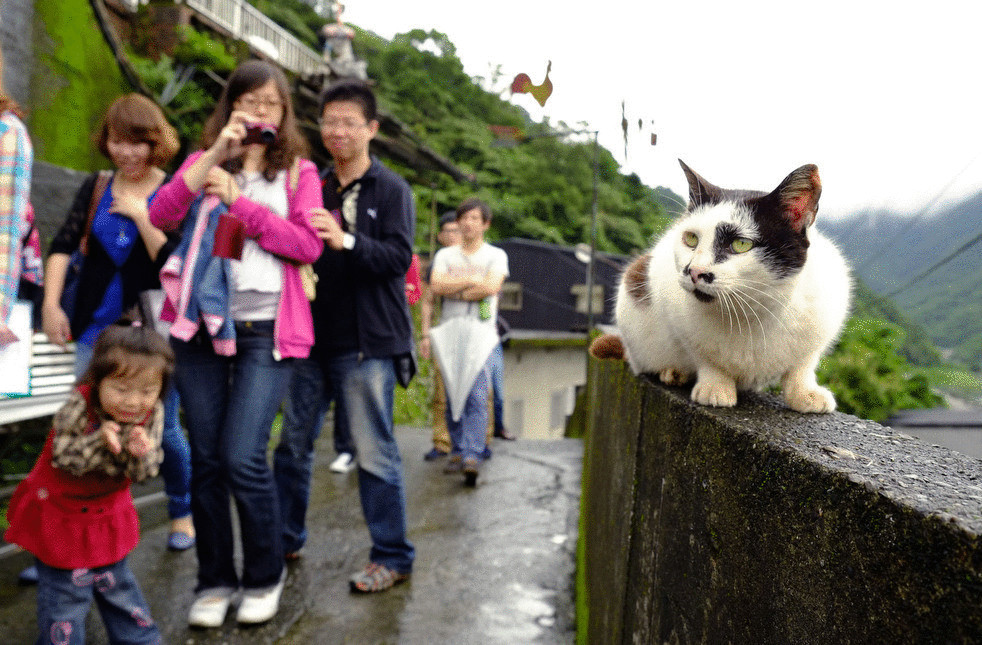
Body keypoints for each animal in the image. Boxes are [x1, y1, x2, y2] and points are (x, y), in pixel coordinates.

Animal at [592, 161, 852, 412]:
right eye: (691, 239)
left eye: (740, 244)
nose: (694, 271)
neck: (751, 315)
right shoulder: (679, 320)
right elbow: (706, 359)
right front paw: (715, 387)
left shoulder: (821, 327)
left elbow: (802, 367)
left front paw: (805, 394)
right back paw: (674, 372)